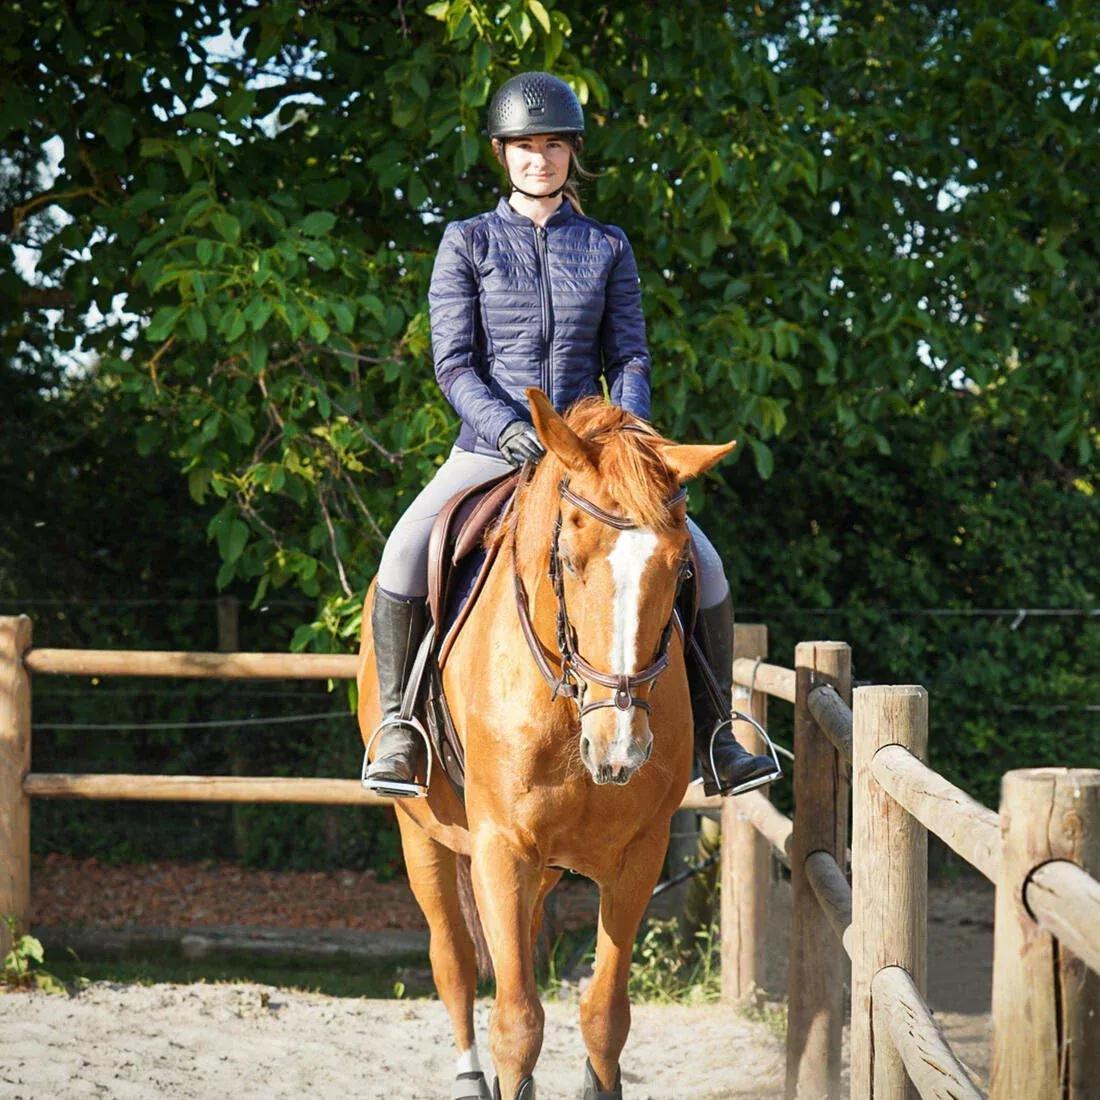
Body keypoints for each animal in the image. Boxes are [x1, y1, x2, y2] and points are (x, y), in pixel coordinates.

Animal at [357, 388, 735, 1099]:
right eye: (568, 560)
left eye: (680, 570)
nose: (619, 750)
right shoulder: (500, 848)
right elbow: (516, 1024)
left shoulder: (639, 853)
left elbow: (605, 1016)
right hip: (421, 832)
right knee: (453, 960)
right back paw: (467, 1076)